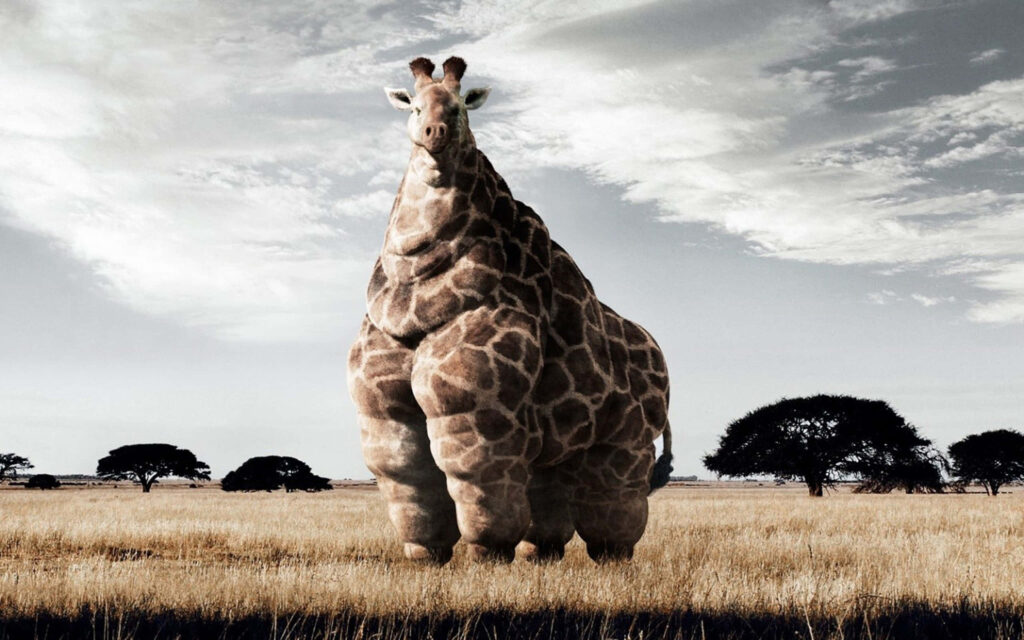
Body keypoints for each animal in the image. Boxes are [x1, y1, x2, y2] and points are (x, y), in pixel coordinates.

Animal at [347, 56, 672, 564]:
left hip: (626, 435)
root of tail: (661, 358)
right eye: (414, 105)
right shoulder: (383, 409)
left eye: (461, 106)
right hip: (562, 444)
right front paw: (426, 555)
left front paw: (488, 556)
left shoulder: (474, 405)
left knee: (614, 501)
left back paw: (611, 557)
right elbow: (407, 475)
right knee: (550, 499)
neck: (414, 290)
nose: (435, 133)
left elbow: (477, 479)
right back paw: (539, 554)